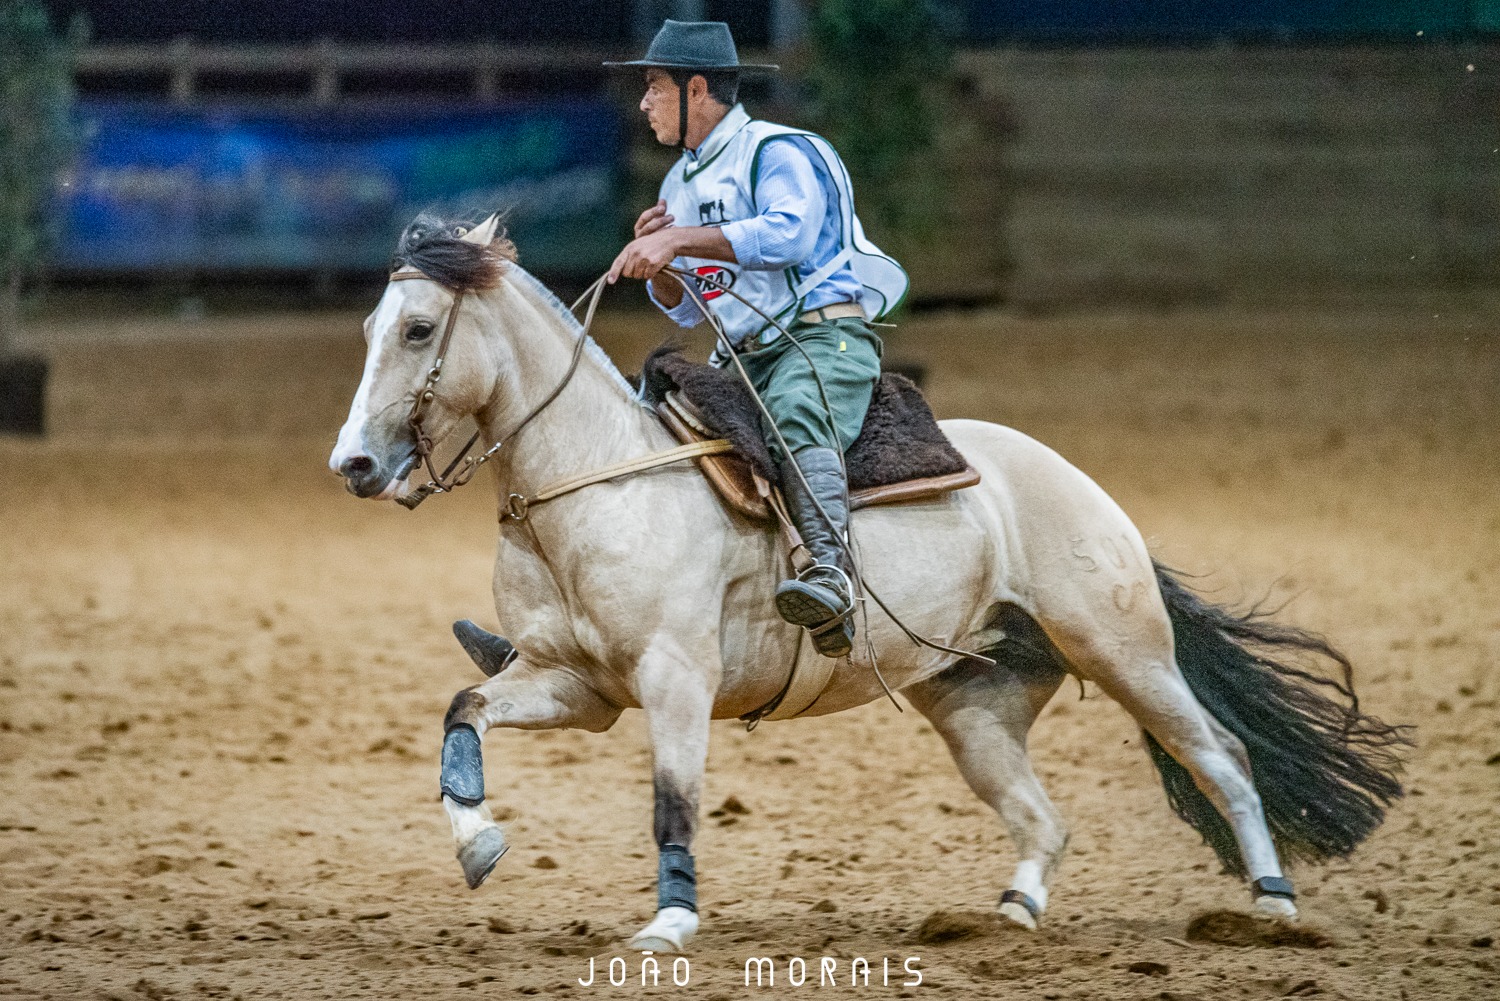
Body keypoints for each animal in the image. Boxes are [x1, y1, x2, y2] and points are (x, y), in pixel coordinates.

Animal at [328, 213, 1404, 954]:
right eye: (373, 325)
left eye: (419, 329)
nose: (355, 465)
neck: (600, 476)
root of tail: (1084, 489)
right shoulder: (575, 685)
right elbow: (463, 710)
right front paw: (478, 843)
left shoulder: (676, 679)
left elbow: (674, 800)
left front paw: (669, 923)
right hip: (974, 701)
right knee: (1043, 815)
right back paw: (1013, 911)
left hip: (1124, 650)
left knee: (1221, 754)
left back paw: (1273, 904)